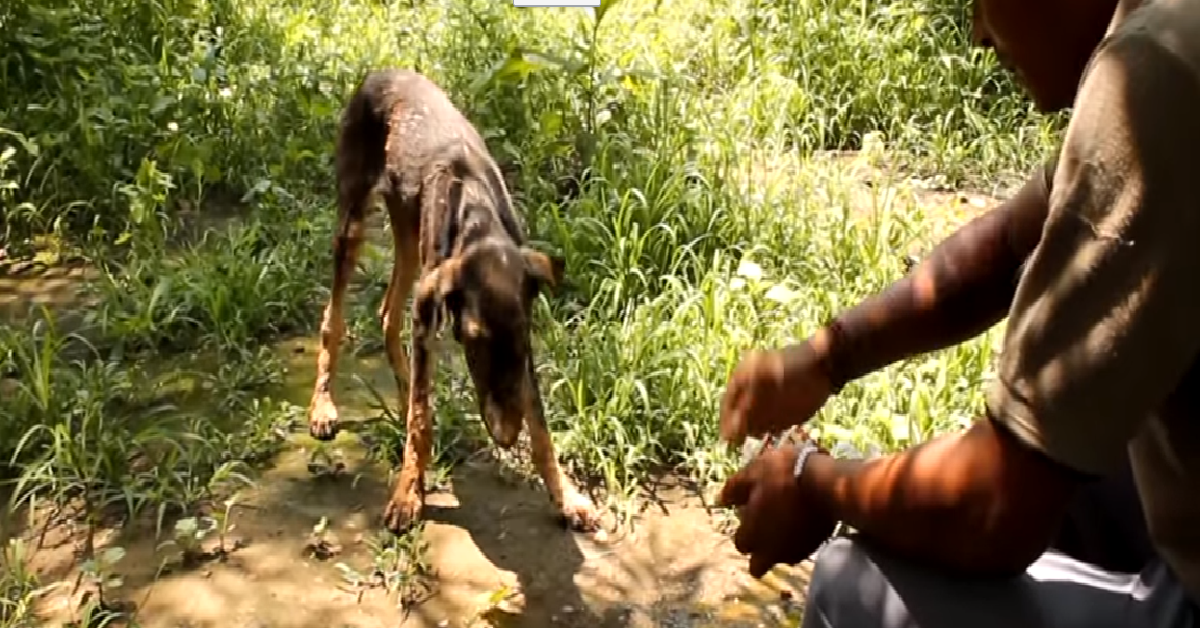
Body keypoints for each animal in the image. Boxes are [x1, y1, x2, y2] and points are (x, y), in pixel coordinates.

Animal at [302, 71, 597, 537]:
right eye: (472, 341)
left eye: (522, 338)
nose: (506, 436)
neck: (477, 218)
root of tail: (382, 71)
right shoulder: (429, 311)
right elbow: (422, 421)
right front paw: (408, 495)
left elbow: (541, 429)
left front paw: (566, 497)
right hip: (352, 222)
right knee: (333, 319)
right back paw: (324, 406)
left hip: (408, 234)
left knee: (387, 314)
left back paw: (402, 386)